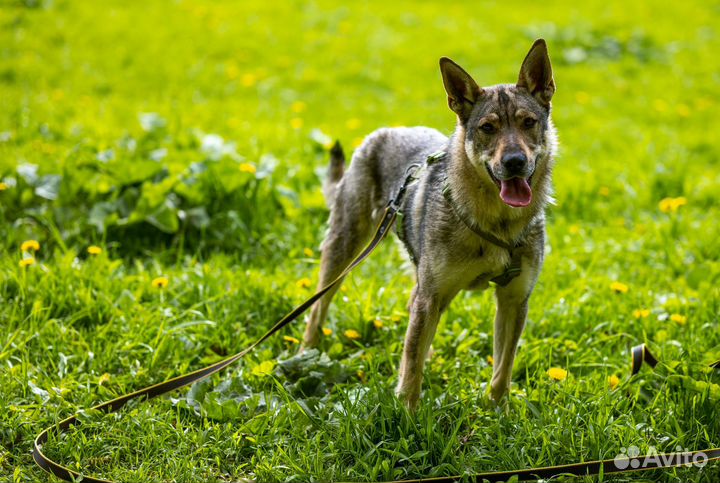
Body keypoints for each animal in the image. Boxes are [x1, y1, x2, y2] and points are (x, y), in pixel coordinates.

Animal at [300, 39, 560, 410]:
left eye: (528, 122)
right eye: (488, 128)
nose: (514, 162)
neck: (497, 223)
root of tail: (386, 131)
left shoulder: (514, 300)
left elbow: (502, 369)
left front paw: (497, 412)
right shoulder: (432, 295)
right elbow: (411, 367)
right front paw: (407, 413)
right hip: (345, 253)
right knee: (318, 309)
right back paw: (305, 355)